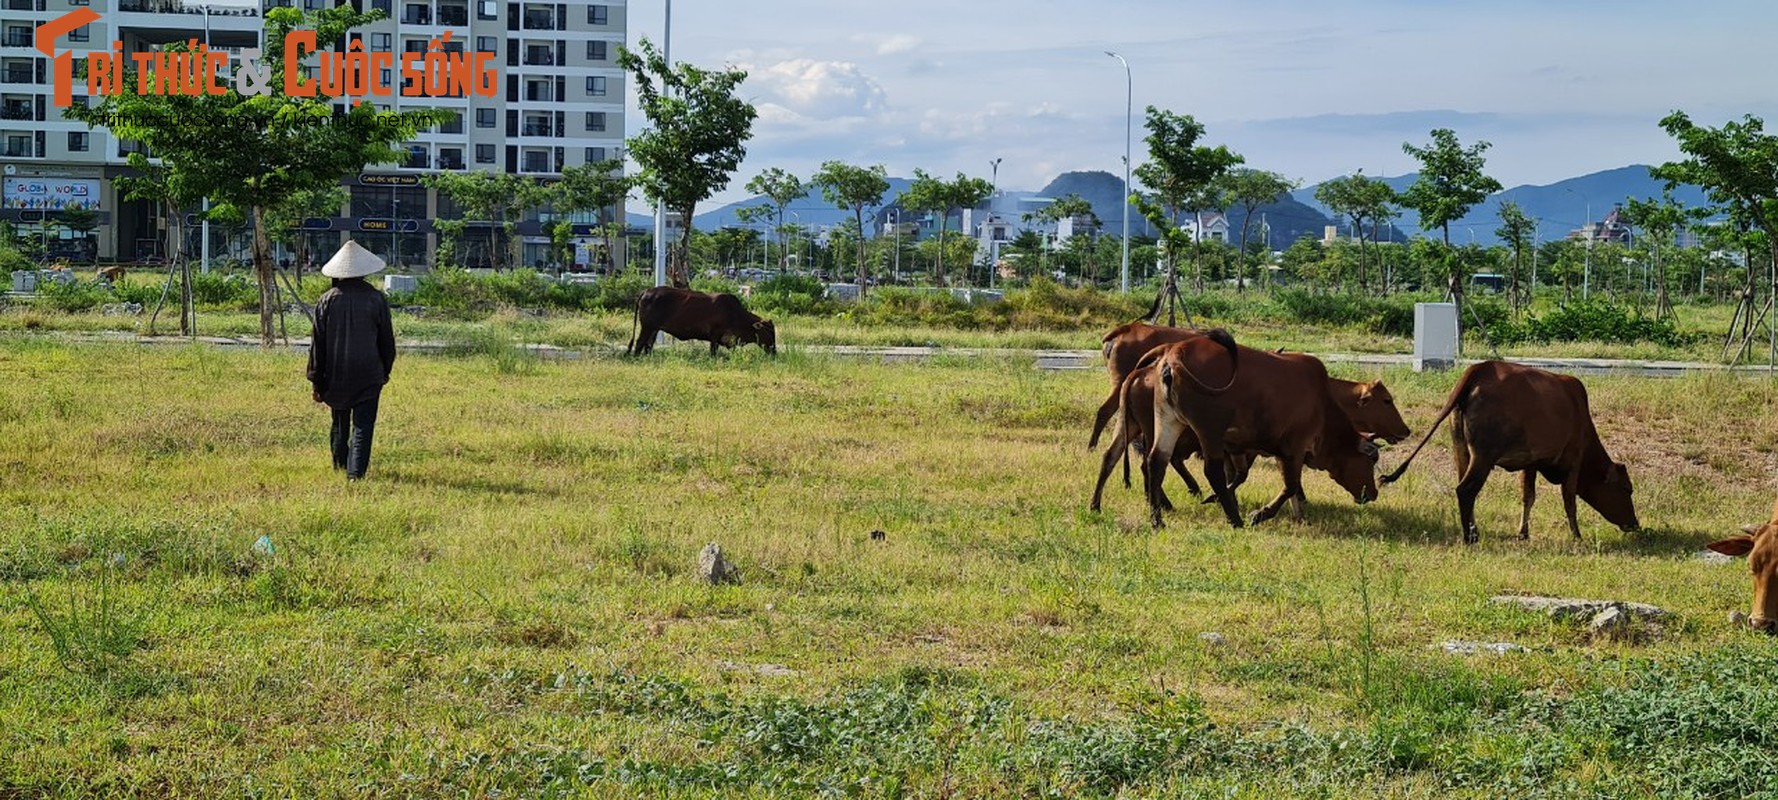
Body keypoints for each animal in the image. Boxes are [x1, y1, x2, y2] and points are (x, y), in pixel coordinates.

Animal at [632, 284, 778, 353]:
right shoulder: (715, 335)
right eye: (768, 332)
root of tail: (646, 291)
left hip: (654, 329)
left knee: (648, 345)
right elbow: (713, 351)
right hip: (647, 327)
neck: (736, 315)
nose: (773, 350)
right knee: (640, 343)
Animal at [1145, 328, 1379, 529]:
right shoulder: (1293, 447)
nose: (1373, 493)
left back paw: (1157, 520)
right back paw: (1235, 520)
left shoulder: (1251, 449)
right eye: (1370, 461)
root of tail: (1176, 352)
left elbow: (1246, 476)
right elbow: (1290, 485)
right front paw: (1259, 514)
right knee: (1212, 471)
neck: (1321, 403)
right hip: (1209, 429)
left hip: (1167, 419)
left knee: (1156, 462)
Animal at [1372, 360, 1635, 544]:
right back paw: (1471, 537)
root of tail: (1479, 369)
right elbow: (1569, 499)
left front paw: (1523, 533)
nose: (1634, 524)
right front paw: (1576, 535)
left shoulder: (1531, 462)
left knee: (1463, 485)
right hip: (1484, 456)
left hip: (1461, 448)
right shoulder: (1573, 458)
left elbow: (1528, 496)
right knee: (1466, 490)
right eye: (1626, 489)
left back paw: (1472, 531)